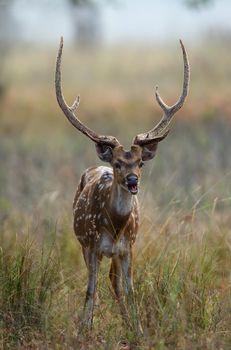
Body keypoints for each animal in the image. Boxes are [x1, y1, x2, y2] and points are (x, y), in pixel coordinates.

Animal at [54, 37, 189, 332]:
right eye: (117, 163)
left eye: (140, 163)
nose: (132, 180)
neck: (114, 227)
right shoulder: (91, 246)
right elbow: (90, 290)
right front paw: (84, 329)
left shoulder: (129, 248)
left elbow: (130, 289)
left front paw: (138, 330)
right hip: (83, 242)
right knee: (101, 282)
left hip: (117, 253)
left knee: (114, 282)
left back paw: (127, 323)